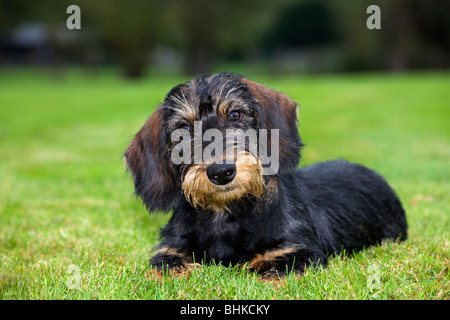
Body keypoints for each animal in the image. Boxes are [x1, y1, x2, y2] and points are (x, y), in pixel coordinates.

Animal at [124, 73, 408, 280]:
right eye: (183, 127)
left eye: (235, 114)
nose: (221, 172)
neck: (225, 215)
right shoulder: (169, 251)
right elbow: (166, 269)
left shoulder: (297, 253)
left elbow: (271, 276)